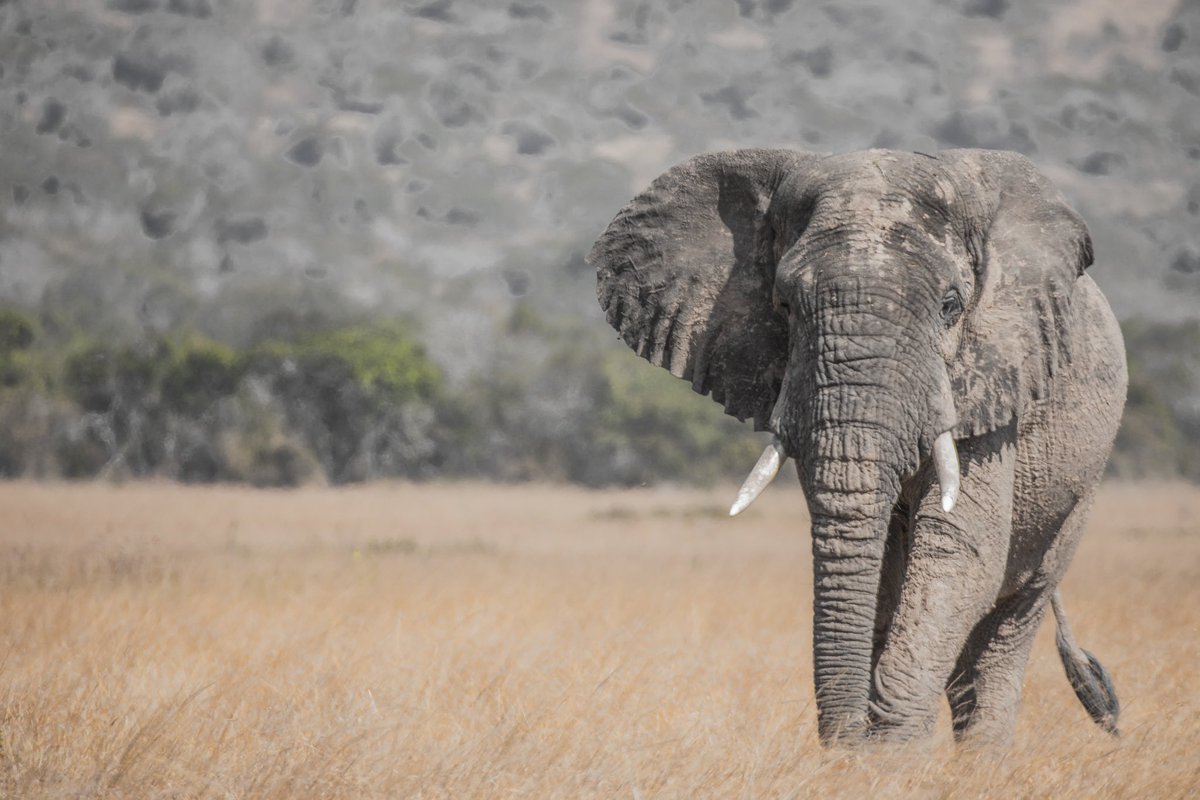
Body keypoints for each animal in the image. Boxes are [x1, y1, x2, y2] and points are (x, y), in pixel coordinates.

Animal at [588, 148, 1127, 746]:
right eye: (784, 305)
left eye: (951, 306)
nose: (845, 749)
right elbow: (877, 560)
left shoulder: (991, 377)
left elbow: (960, 549)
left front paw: (888, 755)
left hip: (1079, 486)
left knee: (1008, 624)